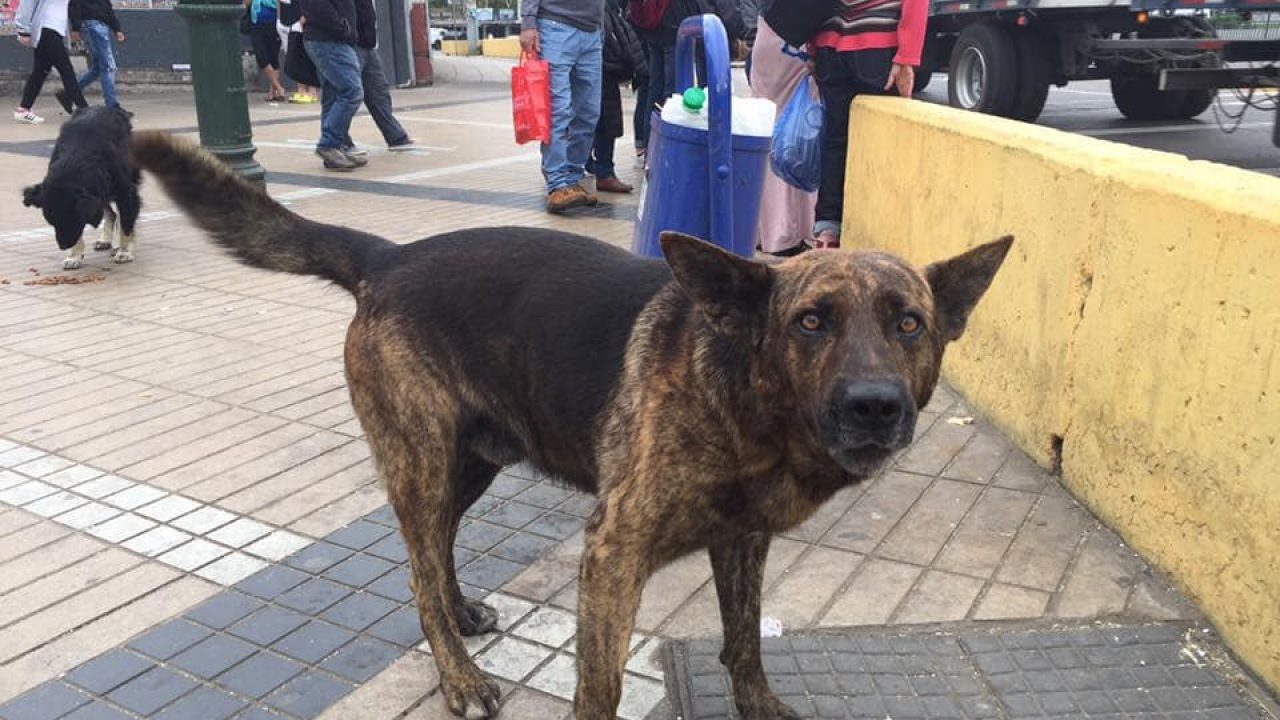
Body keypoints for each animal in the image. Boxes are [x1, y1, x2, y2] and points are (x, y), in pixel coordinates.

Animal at [23, 103, 142, 266]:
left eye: (72, 220)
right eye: (52, 223)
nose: (63, 246)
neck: (78, 157)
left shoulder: (125, 191)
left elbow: (126, 224)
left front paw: (124, 251)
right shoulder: (94, 191)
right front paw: (74, 256)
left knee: (121, 215)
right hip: (101, 192)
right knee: (111, 214)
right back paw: (105, 239)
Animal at [129, 131, 1008, 712]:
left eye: (909, 325)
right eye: (812, 323)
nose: (875, 405)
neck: (745, 403)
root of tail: (388, 257)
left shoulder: (742, 541)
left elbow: (747, 640)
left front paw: (758, 704)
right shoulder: (612, 553)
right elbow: (602, 685)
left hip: (470, 463)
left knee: (437, 549)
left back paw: (461, 612)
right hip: (421, 461)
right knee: (416, 567)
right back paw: (458, 673)